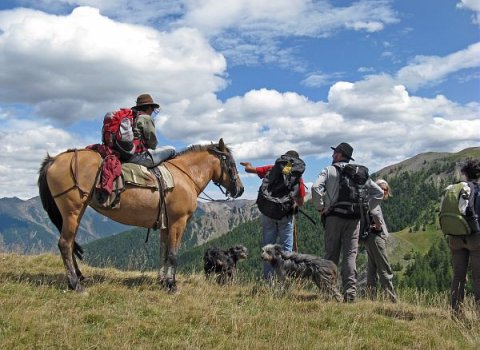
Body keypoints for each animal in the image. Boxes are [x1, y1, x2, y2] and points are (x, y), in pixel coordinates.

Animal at [37, 138, 244, 292]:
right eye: (232, 163)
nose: (240, 189)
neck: (185, 176)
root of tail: (54, 160)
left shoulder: (166, 223)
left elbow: (163, 252)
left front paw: (162, 281)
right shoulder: (178, 222)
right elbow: (173, 254)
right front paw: (171, 285)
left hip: (75, 213)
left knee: (70, 243)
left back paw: (79, 277)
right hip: (72, 211)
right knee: (65, 244)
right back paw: (75, 284)